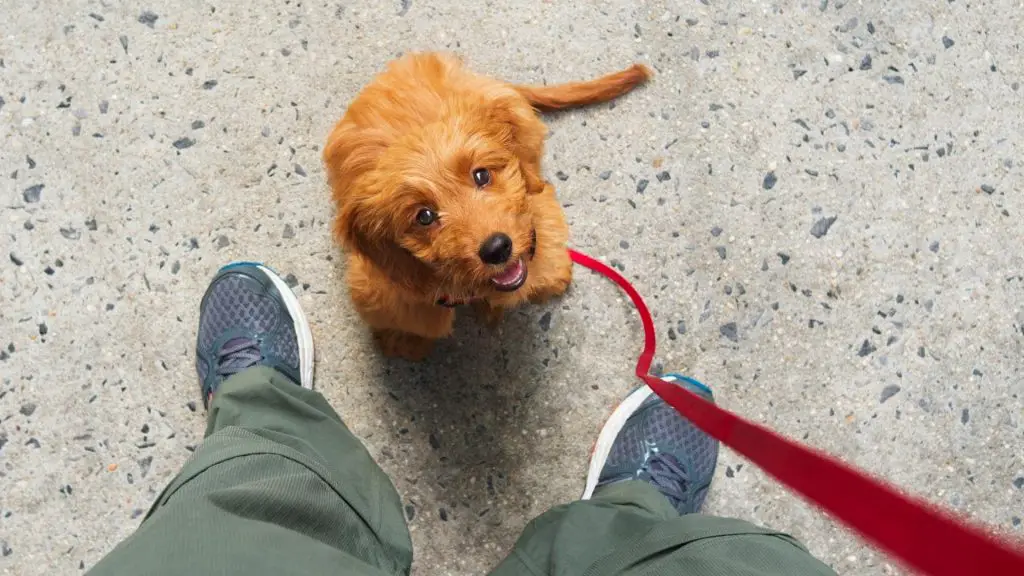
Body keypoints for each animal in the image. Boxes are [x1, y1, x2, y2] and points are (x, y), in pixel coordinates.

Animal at [323, 53, 651, 358]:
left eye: (481, 175)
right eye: (424, 216)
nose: (497, 249)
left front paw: (551, 278)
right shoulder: (386, 288)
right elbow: (413, 320)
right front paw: (404, 341)